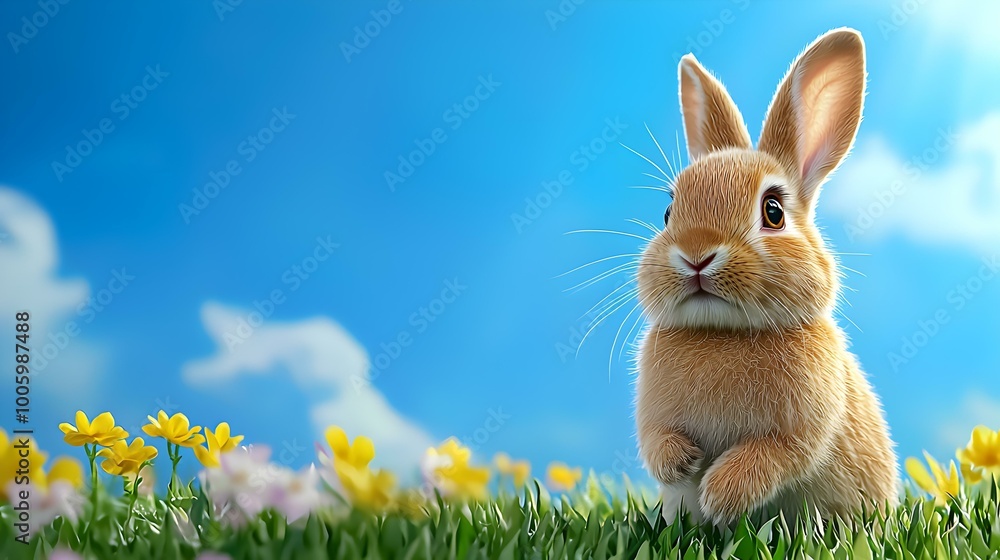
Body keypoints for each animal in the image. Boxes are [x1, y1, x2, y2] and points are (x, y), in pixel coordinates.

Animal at [634, 28, 899, 526]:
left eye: (773, 211)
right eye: (668, 213)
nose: (696, 256)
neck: (723, 335)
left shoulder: (800, 431)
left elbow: (775, 454)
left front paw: (720, 495)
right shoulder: (652, 418)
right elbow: (655, 440)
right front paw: (682, 462)